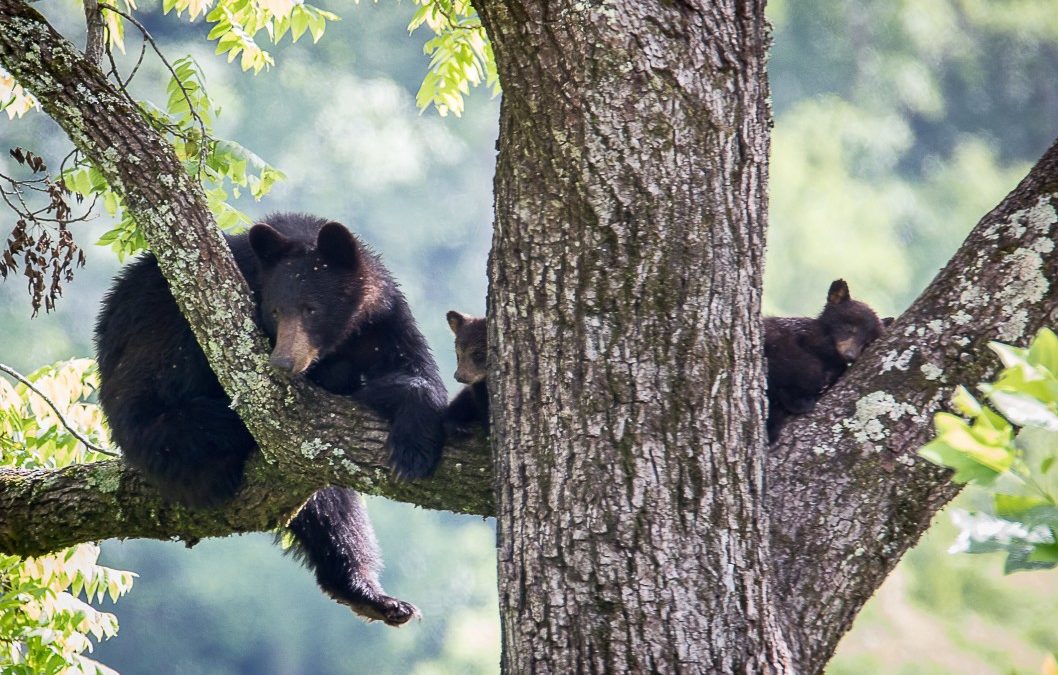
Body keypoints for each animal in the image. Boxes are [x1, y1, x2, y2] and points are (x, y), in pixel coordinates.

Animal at [92, 213, 450, 626]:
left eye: (311, 309)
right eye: (275, 310)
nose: (282, 360)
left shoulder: (384, 321)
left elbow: (416, 371)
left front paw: (414, 443)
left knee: (332, 509)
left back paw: (373, 596)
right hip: (157, 412)